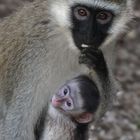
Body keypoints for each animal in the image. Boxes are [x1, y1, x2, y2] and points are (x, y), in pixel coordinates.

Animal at [0, 0, 132, 140]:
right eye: (82, 12)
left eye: (103, 16)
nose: (90, 34)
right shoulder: (32, 54)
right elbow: (16, 125)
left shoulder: (107, 47)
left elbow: (100, 109)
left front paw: (98, 65)